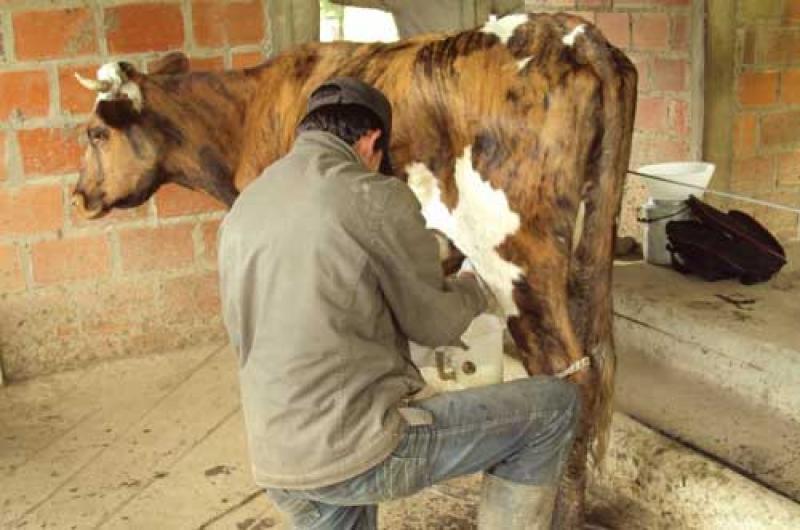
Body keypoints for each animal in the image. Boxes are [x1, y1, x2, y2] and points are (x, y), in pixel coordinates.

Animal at [73, 13, 636, 528]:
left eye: (96, 132)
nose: (78, 197)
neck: (246, 113)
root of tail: (569, 32)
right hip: (587, 246)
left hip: (519, 257)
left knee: (572, 376)